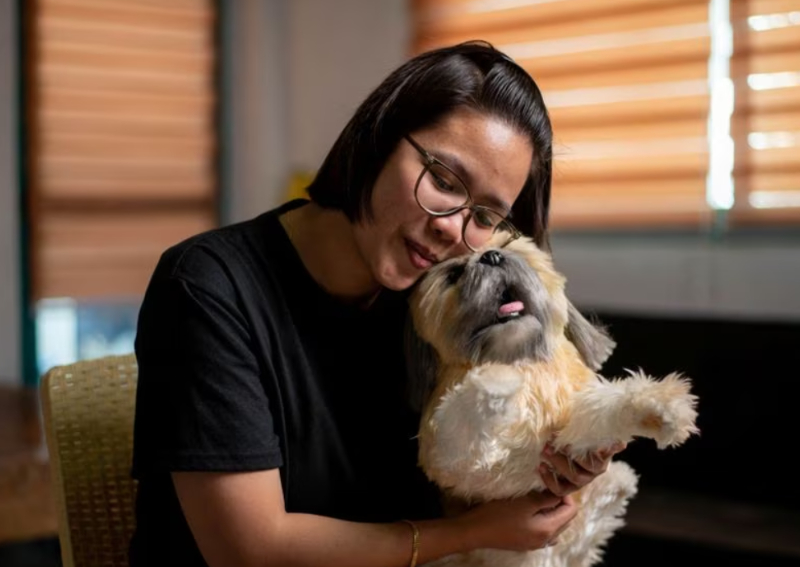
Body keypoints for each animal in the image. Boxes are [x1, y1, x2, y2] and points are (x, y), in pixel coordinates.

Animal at [406, 234, 699, 567]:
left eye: (508, 249)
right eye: (454, 274)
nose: (491, 257)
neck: (519, 358)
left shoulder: (561, 434)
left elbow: (600, 412)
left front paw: (662, 408)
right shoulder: (457, 460)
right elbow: (461, 422)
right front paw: (496, 380)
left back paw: (618, 484)